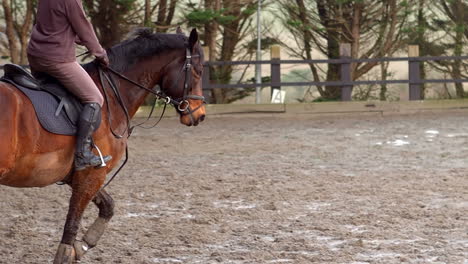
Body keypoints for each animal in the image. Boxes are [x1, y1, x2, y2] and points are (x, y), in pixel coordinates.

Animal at [0, 27, 205, 262]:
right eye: (198, 71)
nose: (200, 114)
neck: (113, 97)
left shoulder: (83, 175)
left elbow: (108, 206)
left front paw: (83, 245)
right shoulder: (91, 175)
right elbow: (71, 226)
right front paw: (70, 251)